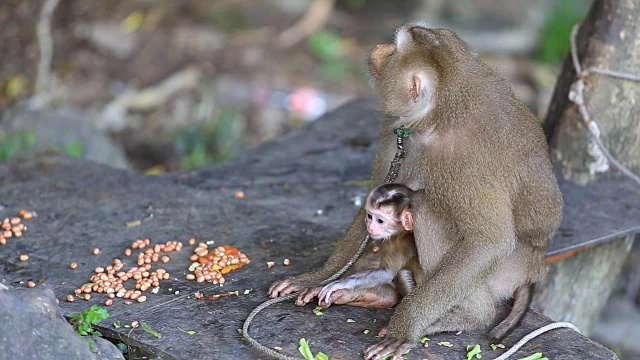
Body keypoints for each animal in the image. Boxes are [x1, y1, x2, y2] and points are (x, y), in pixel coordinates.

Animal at [268, 23, 564, 358]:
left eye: (395, 51)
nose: (379, 49)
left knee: (425, 207)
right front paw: (316, 278)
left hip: (508, 269)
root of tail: (536, 264)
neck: (439, 114)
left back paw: (470, 316)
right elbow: (373, 195)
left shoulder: (466, 164)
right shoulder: (396, 133)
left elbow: (490, 242)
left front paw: (406, 327)